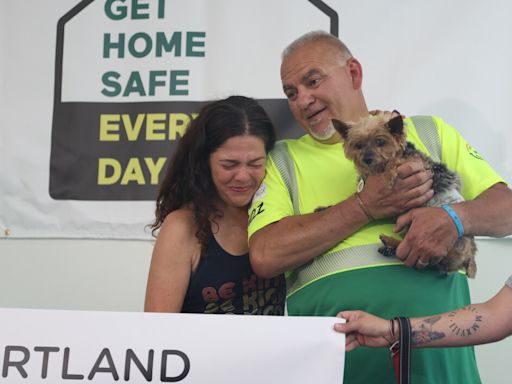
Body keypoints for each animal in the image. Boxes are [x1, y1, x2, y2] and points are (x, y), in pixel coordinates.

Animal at [332, 112, 476, 278]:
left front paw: (388, 175)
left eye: (380, 142)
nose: (366, 159)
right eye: (358, 145)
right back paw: (389, 247)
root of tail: (470, 256)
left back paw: (389, 241)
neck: (375, 170)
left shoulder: (417, 164)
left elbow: (394, 160)